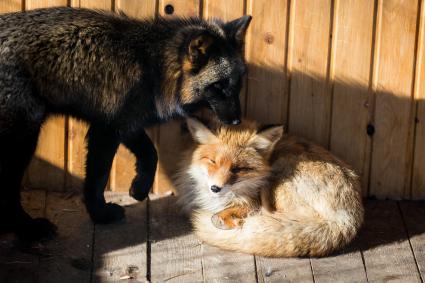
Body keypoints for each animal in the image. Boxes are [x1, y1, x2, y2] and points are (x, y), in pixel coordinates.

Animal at [0, 7, 250, 242]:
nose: (237, 121)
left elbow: (150, 154)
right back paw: (28, 228)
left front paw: (139, 189)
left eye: (238, 83)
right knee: (9, 190)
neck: (153, 68)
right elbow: (98, 178)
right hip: (23, 140)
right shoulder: (106, 129)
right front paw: (100, 214)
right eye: (219, 85)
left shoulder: (126, 122)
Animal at [174, 117, 362, 258]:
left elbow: (241, 209)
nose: (215, 188)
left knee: (269, 215)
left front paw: (225, 217)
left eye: (238, 169)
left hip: (279, 174)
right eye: (212, 161)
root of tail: (346, 220)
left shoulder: (253, 198)